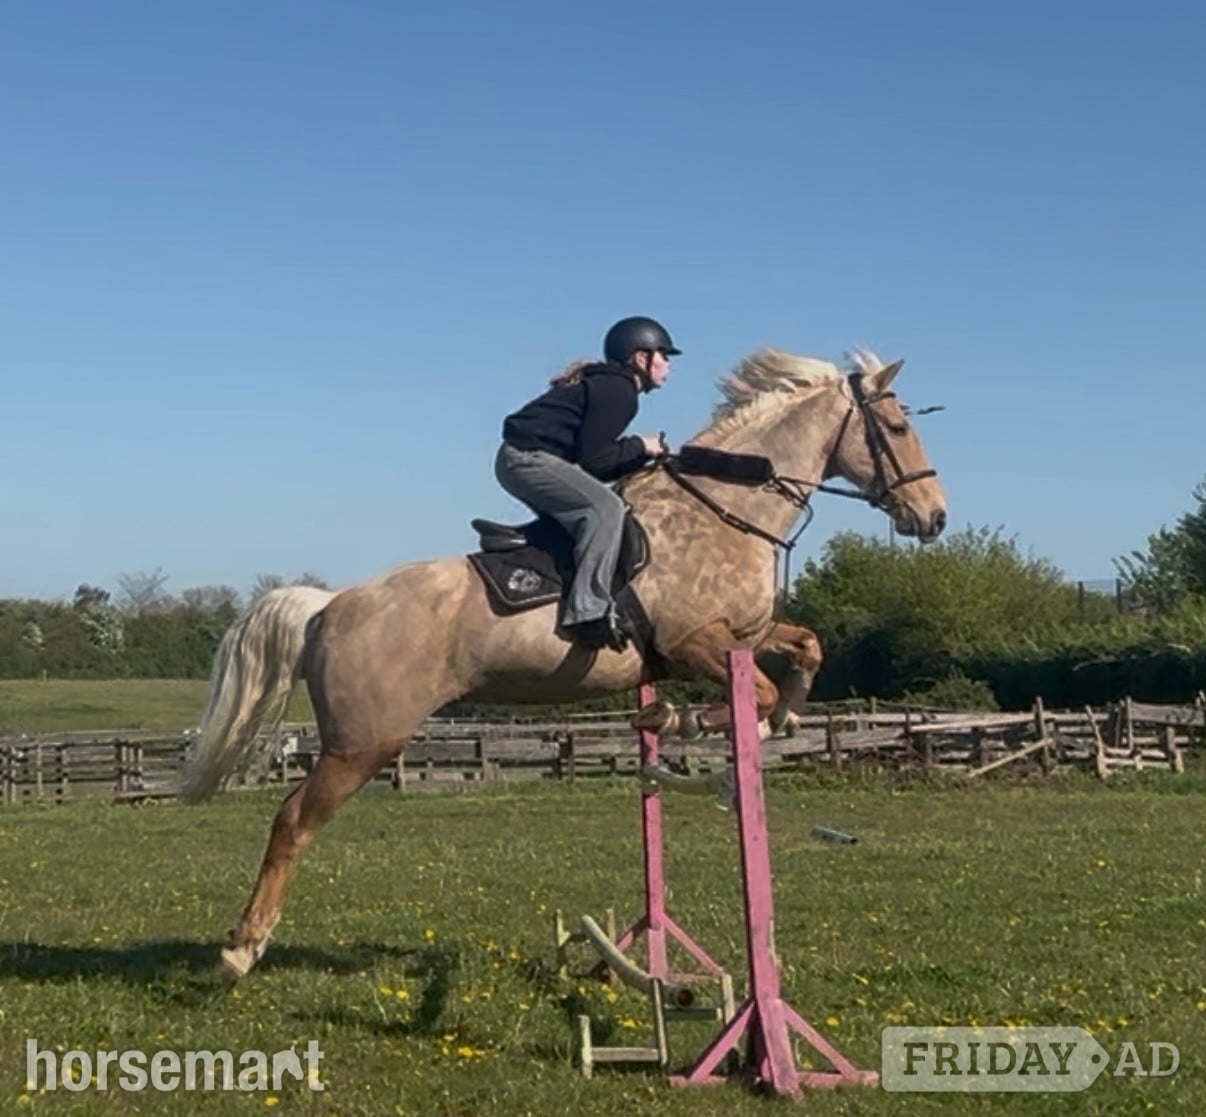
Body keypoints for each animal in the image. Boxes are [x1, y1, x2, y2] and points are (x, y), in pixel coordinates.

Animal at [182, 345, 948, 981]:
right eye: (897, 427)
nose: (935, 517)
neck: (725, 509)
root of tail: (329, 605)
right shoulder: (695, 640)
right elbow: (749, 690)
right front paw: (693, 723)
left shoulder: (745, 631)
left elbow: (805, 648)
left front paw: (776, 718)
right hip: (361, 743)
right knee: (292, 822)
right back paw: (241, 949)